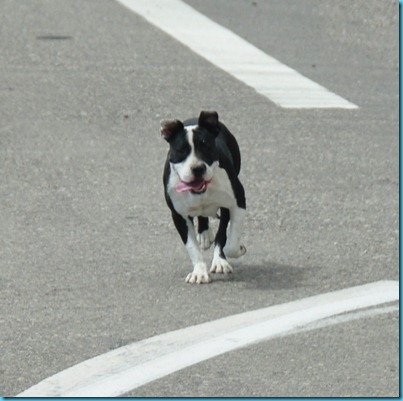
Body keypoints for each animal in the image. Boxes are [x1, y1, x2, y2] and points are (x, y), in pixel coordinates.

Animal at [161, 111, 246, 284]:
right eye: (181, 150)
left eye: (207, 147)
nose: (197, 168)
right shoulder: (178, 216)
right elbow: (191, 246)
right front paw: (199, 271)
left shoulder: (237, 201)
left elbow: (229, 241)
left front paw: (225, 257)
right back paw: (204, 233)